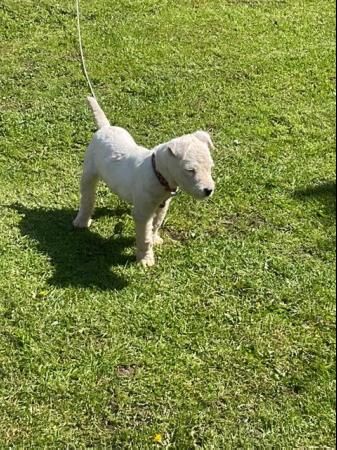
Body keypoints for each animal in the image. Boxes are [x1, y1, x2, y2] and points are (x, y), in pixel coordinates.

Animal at [73, 97, 215, 268]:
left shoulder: (162, 206)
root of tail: (105, 128)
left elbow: (155, 225)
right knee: (87, 199)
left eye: (211, 167)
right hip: (89, 173)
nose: (209, 190)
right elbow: (145, 237)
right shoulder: (143, 213)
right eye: (190, 170)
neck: (157, 172)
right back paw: (81, 221)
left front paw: (155, 239)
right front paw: (145, 260)